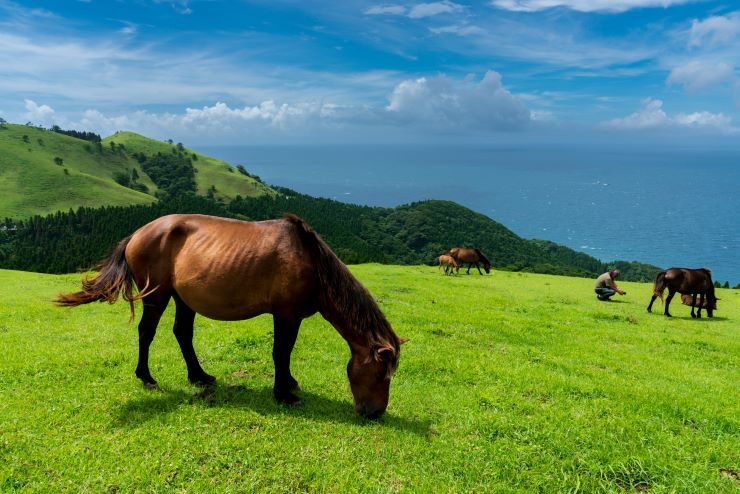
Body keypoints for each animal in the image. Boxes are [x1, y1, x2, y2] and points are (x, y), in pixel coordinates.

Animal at [57, 214, 404, 418]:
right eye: (381, 374)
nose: (374, 413)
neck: (312, 263)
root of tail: (136, 234)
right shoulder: (286, 315)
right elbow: (281, 352)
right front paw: (283, 394)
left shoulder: (293, 317)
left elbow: (286, 353)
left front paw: (289, 383)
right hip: (157, 295)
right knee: (147, 332)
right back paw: (147, 377)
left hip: (183, 298)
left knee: (182, 333)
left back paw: (199, 376)